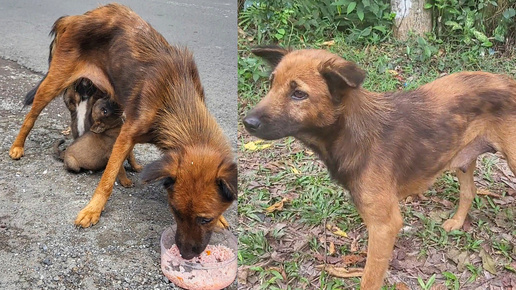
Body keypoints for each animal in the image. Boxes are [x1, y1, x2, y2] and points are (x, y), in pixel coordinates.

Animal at [8, 4, 236, 258]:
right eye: (175, 211)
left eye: (206, 219)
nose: (186, 255)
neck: (175, 101)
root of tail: (74, 18)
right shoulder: (126, 135)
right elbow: (107, 179)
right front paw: (93, 209)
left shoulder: (126, 129)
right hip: (54, 83)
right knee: (31, 116)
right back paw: (17, 147)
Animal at [244, 45, 516, 288]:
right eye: (271, 84)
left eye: (298, 94)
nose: (248, 123)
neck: (350, 132)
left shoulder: (384, 226)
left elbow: (370, 279)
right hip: (463, 158)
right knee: (469, 191)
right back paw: (457, 223)